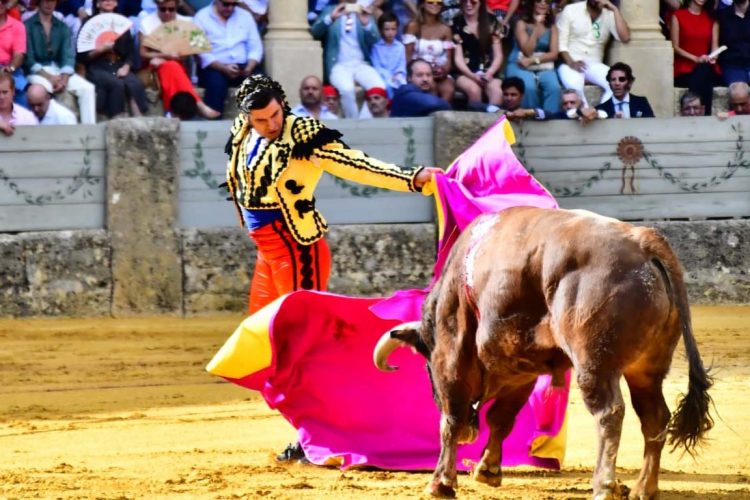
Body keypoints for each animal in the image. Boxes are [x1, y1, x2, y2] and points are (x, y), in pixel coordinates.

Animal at [376, 206, 716, 500]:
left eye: (427, 366)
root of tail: (645, 242)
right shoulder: (520, 369)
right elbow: (502, 417)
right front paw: (487, 470)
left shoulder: (452, 353)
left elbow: (452, 418)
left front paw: (441, 484)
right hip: (647, 368)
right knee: (654, 416)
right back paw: (644, 488)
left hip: (595, 363)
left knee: (609, 413)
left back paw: (604, 486)